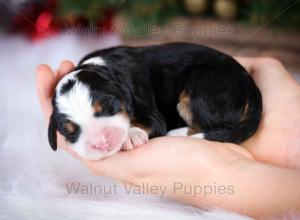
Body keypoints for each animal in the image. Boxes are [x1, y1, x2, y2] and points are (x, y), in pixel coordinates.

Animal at [48, 42, 262, 160]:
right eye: (69, 132)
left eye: (108, 106)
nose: (101, 143)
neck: (104, 67)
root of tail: (251, 87)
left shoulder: (149, 109)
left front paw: (131, 135)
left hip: (200, 88)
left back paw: (176, 133)